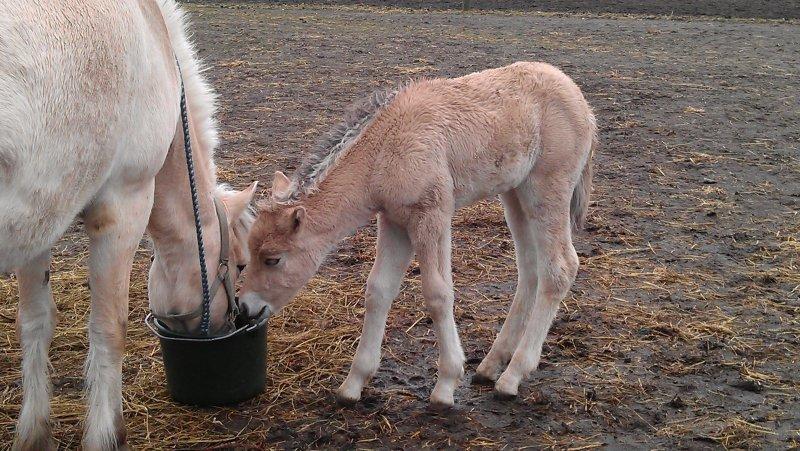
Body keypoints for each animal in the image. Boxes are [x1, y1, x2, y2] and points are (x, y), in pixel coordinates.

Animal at [0, 1, 256, 450]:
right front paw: (106, 433)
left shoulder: (38, 218)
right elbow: (109, 329)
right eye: (239, 265)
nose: (233, 321)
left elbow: (34, 322)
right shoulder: (124, 203)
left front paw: (34, 431)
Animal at [241, 62, 596, 410]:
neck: (385, 148)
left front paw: (446, 385)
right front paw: (353, 384)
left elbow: (438, 294)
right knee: (530, 270)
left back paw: (512, 377)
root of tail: (582, 102)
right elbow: (378, 290)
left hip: (547, 188)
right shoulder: (394, 220)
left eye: (272, 259)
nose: (245, 308)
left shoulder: (432, 215)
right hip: (515, 193)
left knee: (560, 268)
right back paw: (491, 365)